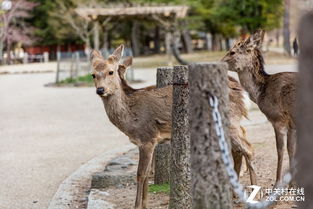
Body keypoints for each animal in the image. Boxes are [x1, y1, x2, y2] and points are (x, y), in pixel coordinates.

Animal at [90, 46, 256, 209]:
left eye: (111, 71)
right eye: (93, 75)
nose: (100, 90)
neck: (131, 118)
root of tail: (241, 89)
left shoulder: (147, 138)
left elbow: (140, 174)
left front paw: (137, 206)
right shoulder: (147, 142)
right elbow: (146, 174)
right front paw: (145, 204)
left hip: (229, 120)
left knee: (248, 148)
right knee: (237, 150)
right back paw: (234, 194)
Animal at [221, 29, 296, 186]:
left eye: (232, 52)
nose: (219, 63)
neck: (262, 91)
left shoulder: (278, 119)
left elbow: (280, 150)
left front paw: (277, 184)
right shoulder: (291, 124)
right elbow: (291, 150)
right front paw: (291, 185)